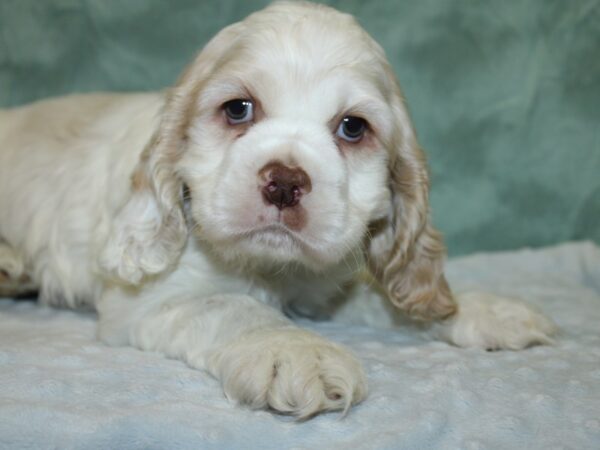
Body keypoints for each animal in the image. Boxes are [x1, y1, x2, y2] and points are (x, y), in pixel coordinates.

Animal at [0, 1, 556, 420]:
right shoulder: (147, 298)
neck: (275, 267)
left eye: (352, 127)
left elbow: (380, 293)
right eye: (238, 109)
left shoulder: (330, 275)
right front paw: (298, 353)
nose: (285, 182)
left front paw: (479, 309)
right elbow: (234, 307)